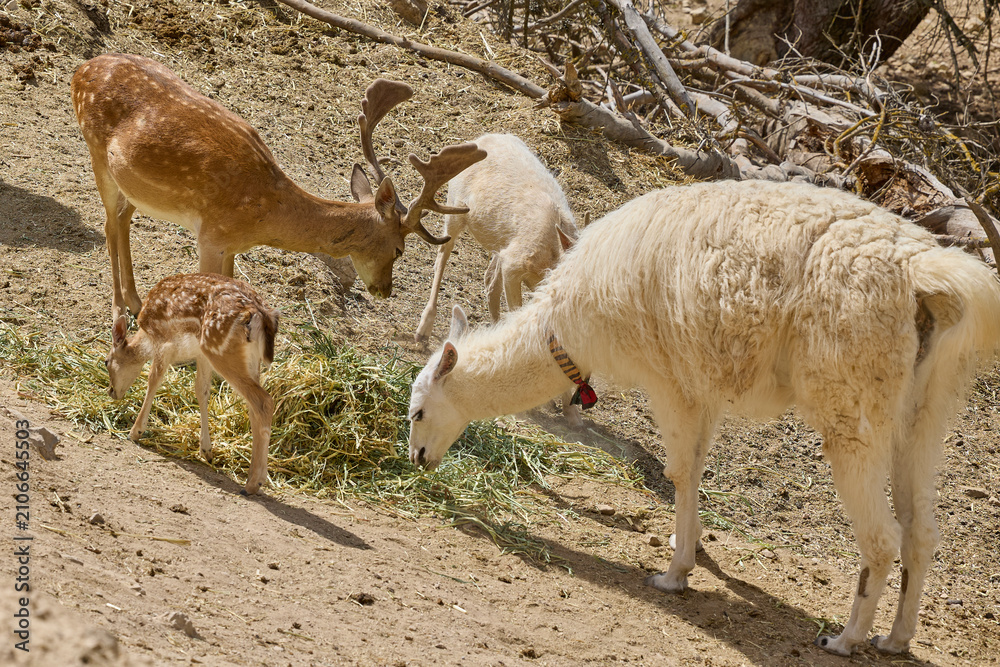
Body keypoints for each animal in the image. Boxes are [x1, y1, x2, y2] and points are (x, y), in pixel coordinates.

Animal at [71, 53, 487, 320]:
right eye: (400, 250)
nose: (385, 289)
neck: (264, 214)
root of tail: (81, 69)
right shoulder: (211, 236)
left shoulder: (229, 245)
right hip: (95, 150)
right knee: (109, 222)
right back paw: (118, 311)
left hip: (127, 181)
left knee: (123, 218)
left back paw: (136, 302)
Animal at [106, 272, 280, 495]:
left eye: (106, 362)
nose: (111, 391)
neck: (146, 336)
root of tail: (262, 316)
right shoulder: (200, 355)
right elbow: (202, 391)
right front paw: (206, 451)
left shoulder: (165, 343)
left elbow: (153, 380)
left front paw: (135, 432)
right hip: (246, 359)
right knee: (253, 407)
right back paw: (252, 478)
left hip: (221, 351)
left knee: (264, 401)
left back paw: (252, 484)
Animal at [407, 179, 1000, 655]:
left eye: (417, 412)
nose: (416, 458)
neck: (569, 325)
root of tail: (923, 272)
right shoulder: (703, 387)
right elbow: (694, 472)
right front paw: (687, 553)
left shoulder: (668, 379)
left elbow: (678, 472)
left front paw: (671, 576)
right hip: (923, 411)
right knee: (922, 530)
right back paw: (894, 640)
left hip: (851, 402)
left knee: (882, 537)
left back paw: (844, 638)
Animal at [413, 134, 582, 426]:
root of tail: (484, 137)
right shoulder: (515, 264)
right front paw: (544, 404)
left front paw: (570, 412)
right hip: (455, 208)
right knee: (443, 254)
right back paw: (423, 328)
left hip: (496, 244)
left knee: (489, 280)